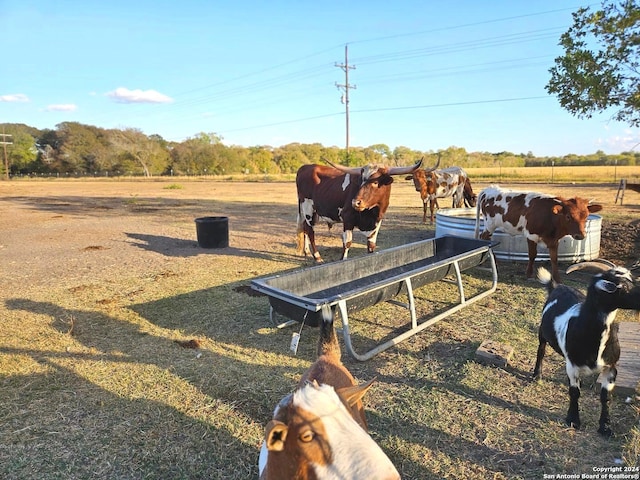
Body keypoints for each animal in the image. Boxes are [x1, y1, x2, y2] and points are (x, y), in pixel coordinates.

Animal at [296, 158, 424, 262]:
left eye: (375, 182)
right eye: (360, 182)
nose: (355, 202)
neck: (373, 213)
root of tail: (305, 167)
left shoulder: (377, 222)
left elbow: (371, 245)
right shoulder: (347, 219)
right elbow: (347, 243)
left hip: (312, 211)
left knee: (305, 228)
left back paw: (307, 252)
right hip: (307, 207)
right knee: (310, 230)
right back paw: (317, 257)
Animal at [476, 184, 604, 282]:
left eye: (586, 217)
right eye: (568, 216)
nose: (580, 235)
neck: (550, 216)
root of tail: (488, 189)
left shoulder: (554, 240)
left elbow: (554, 258)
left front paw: (557, 278)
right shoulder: (531, 235)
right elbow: (532, 255)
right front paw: (529, 274)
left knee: (485, 238)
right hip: (490, 224)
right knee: (484, 237)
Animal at [528, 260, 640, 436]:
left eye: (632, 278)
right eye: (621, 285)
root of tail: (557, 286)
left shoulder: (611, 367)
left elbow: (605, 397)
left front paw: (605, 427)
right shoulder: (572, 366)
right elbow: (575, 392)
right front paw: (573, 420)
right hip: (542, 333)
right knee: (541, 350)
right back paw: (537, 375)